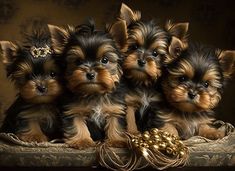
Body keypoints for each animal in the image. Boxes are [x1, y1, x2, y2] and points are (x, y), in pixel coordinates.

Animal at [48, 19, 127, 148]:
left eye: (105, 60)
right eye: (78, 61)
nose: (90, 74)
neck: (94, 93)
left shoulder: (115, 108)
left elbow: (115, 122)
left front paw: (116, 140)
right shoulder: (73, 110)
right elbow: (77, 124)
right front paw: (82, 140)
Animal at [117, 2, 189, 134]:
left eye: (155, 53)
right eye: (134, 47)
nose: (141, 61)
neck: (143, 83)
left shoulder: (156, 106)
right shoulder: (129, 101)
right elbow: (130, 117)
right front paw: (133, 132)